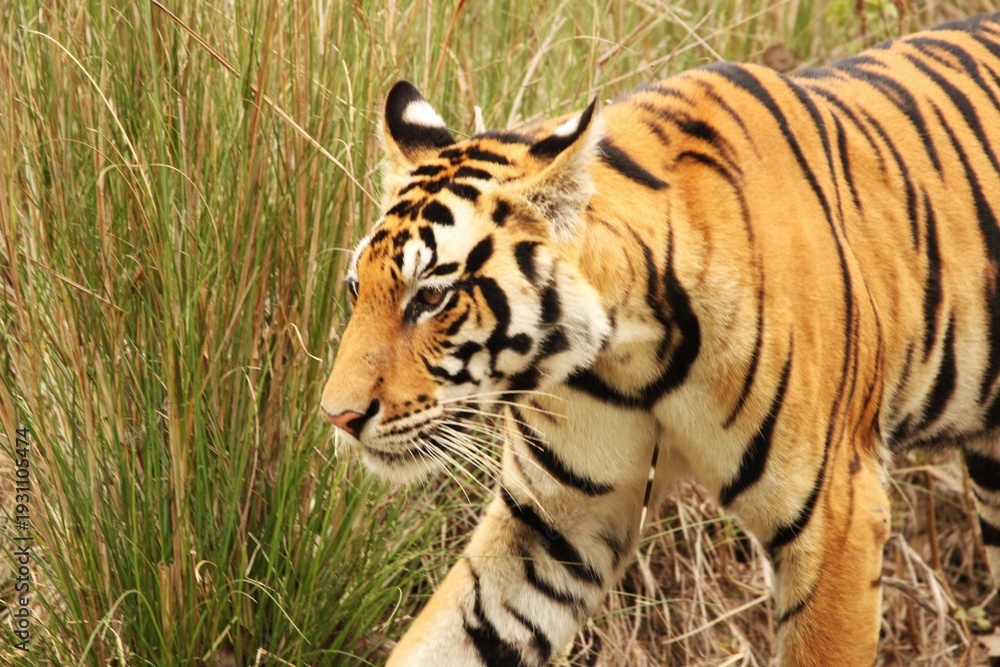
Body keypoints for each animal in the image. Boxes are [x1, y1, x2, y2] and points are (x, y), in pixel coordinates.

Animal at [321, 13, 1000, 666]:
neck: (629, 358)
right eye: (356, 289)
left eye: (432, 297)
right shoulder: (556, 520)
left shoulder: (838, 517)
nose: (337, 417)